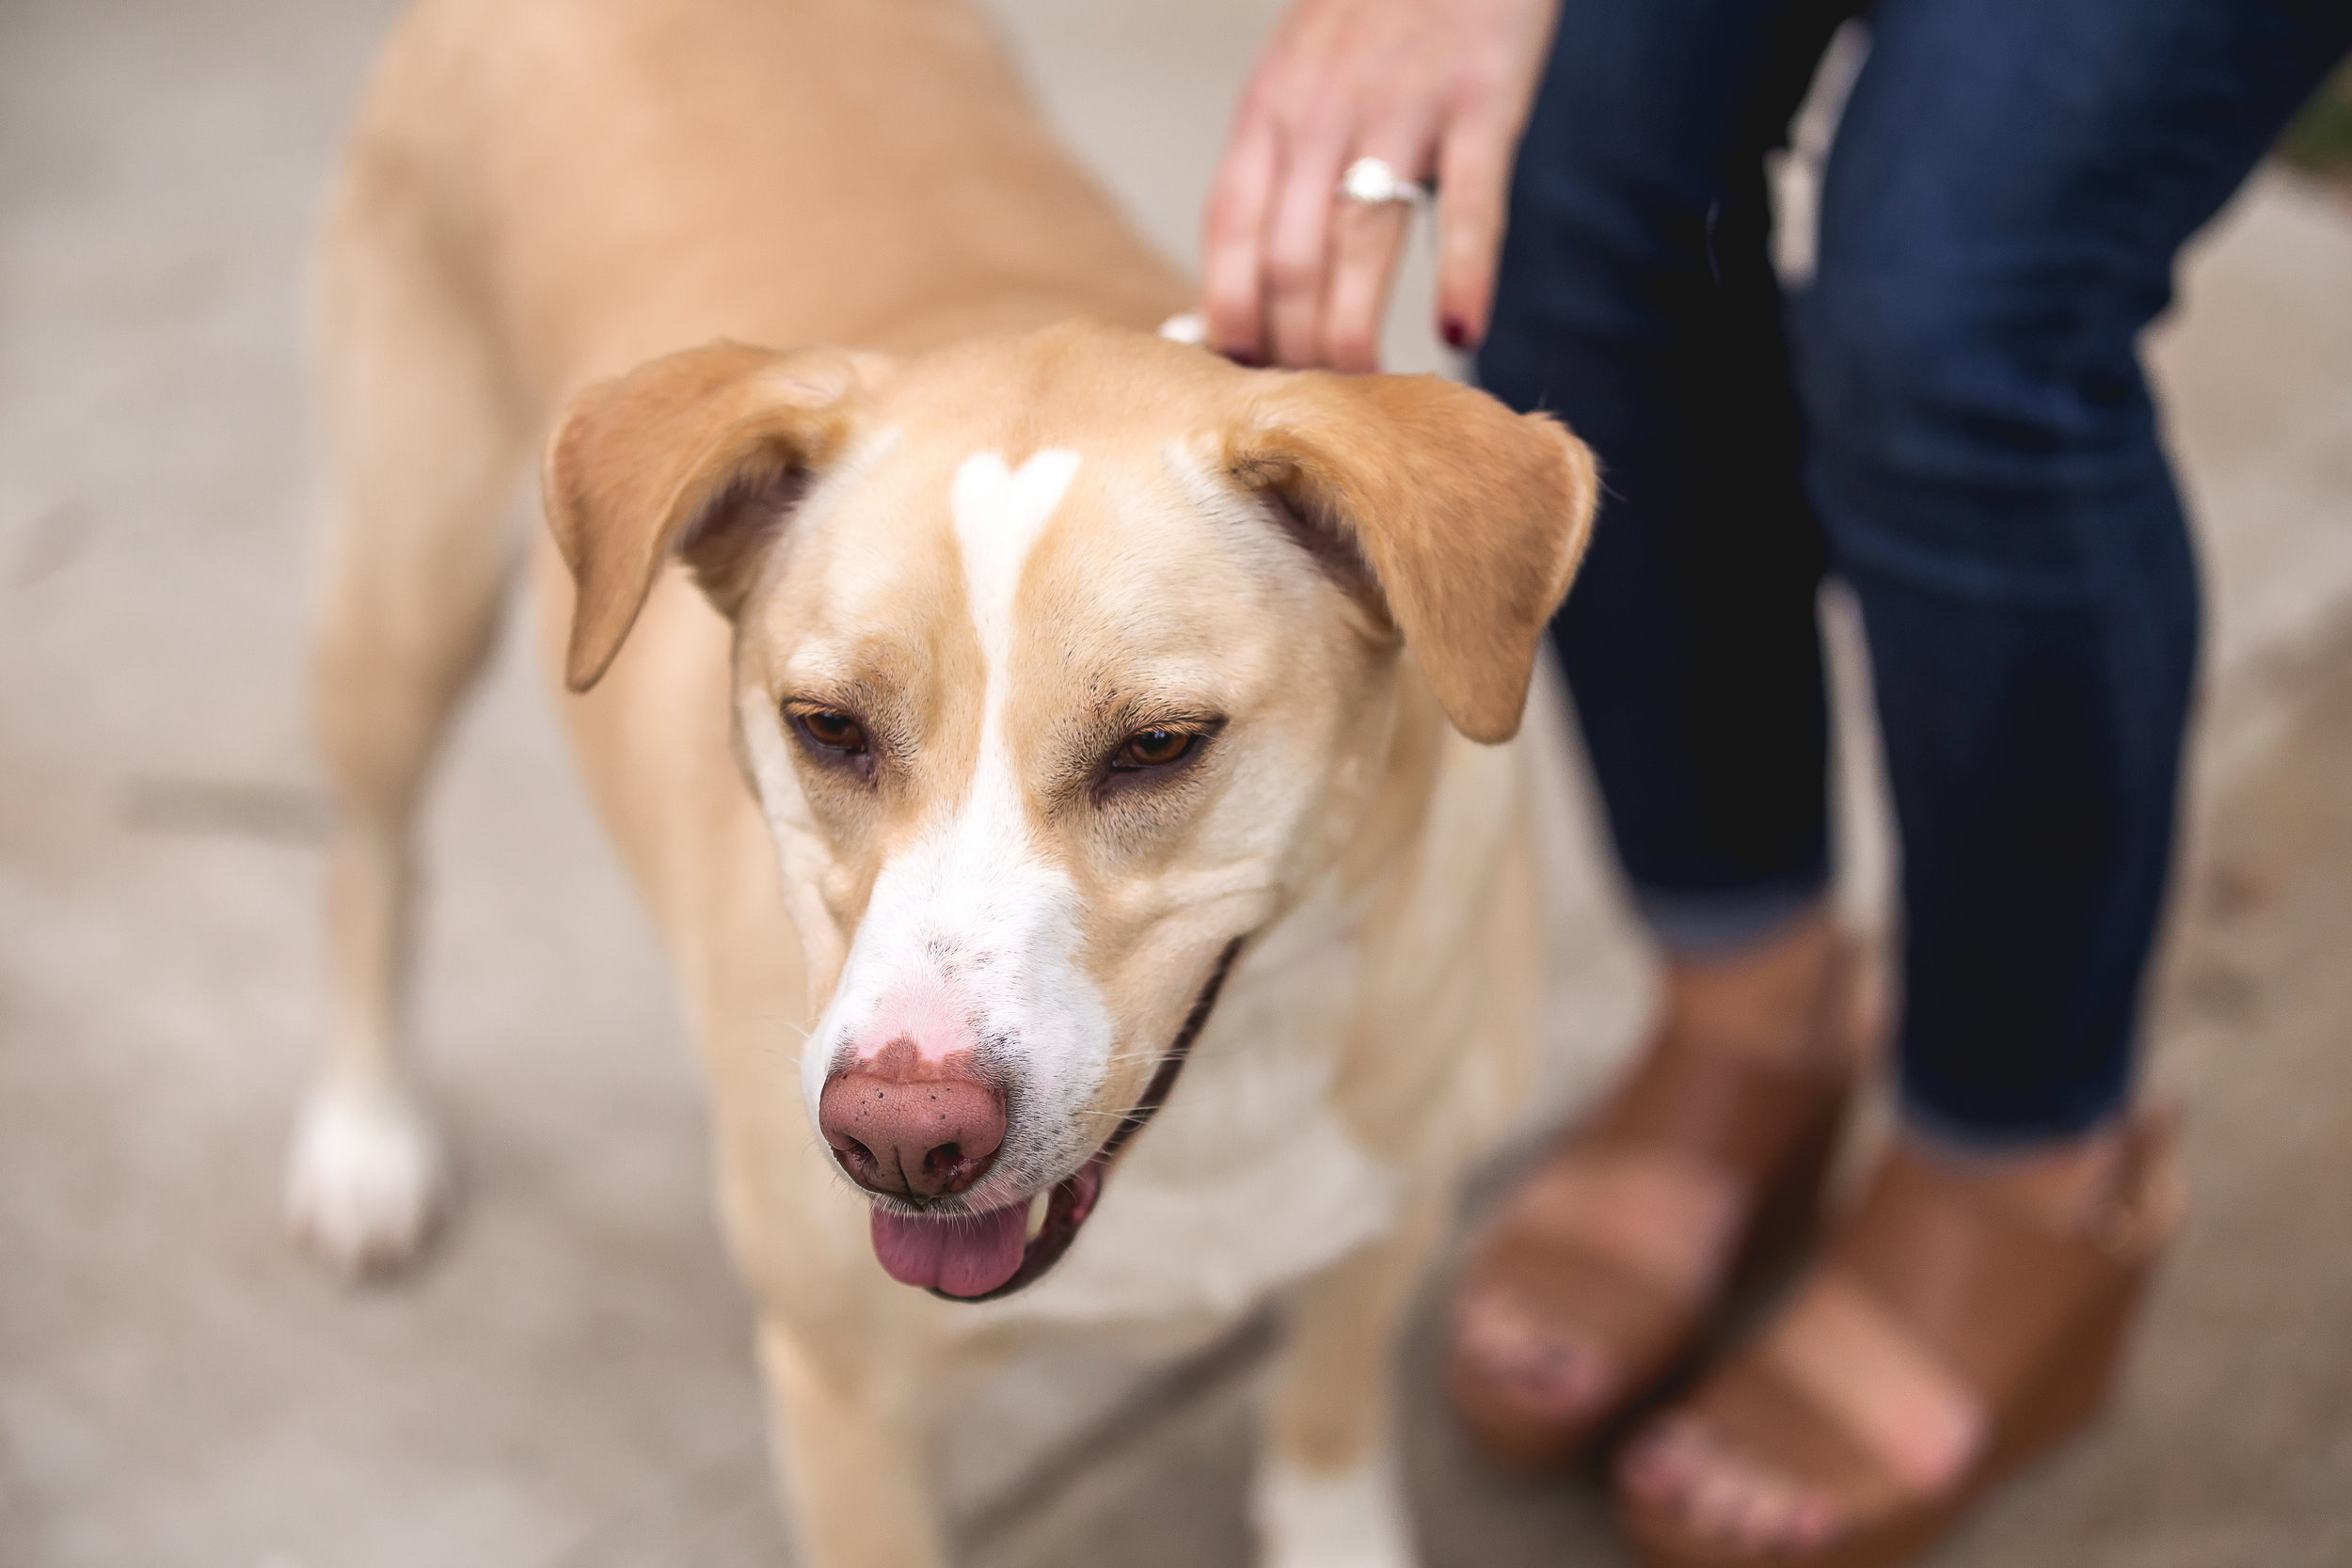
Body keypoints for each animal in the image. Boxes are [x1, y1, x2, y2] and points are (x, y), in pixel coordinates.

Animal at [284, 3, 1590, 1568]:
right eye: (827, 726)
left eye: (1160, 743)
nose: (902, 1139)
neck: (1212, 1112)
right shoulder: (841, 1393)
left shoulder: (1387, 1233)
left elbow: (1327, 1437)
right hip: (401, 603)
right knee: (366, 850)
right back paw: (365, 1136)